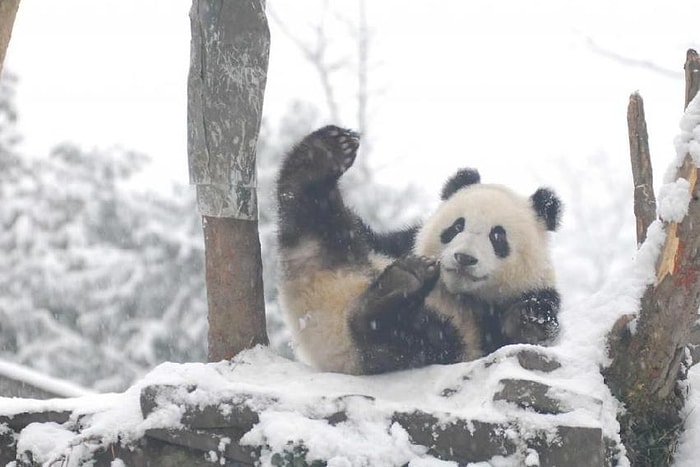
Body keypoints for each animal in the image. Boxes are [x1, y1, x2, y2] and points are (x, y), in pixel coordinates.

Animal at [276, 125, 562, 375]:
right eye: (457, 226)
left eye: (497, 236)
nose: (464, 258)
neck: (459, 293)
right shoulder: (400, 241)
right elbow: (388, 238)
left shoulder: (530, 295)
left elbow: (518, 334)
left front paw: (530, 318)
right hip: (346, 245)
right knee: (317, 215)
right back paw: (324, 153)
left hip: (429, 344)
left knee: (407, 337)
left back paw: (400, 287)